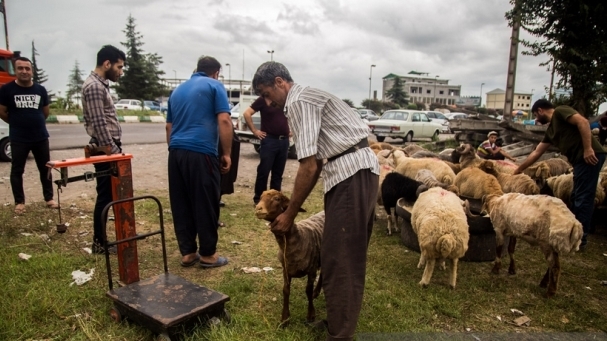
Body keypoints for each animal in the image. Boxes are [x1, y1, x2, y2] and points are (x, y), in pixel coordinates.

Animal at [254, 189, 326, 324]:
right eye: (260, 197)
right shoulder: (286, 270)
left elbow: (307, 291)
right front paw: (285, 318)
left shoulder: (312, 270)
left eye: (277, 199)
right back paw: (316, 292)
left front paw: (311, 315)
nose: (258, 208)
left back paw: (316, 292)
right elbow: (286, 290)